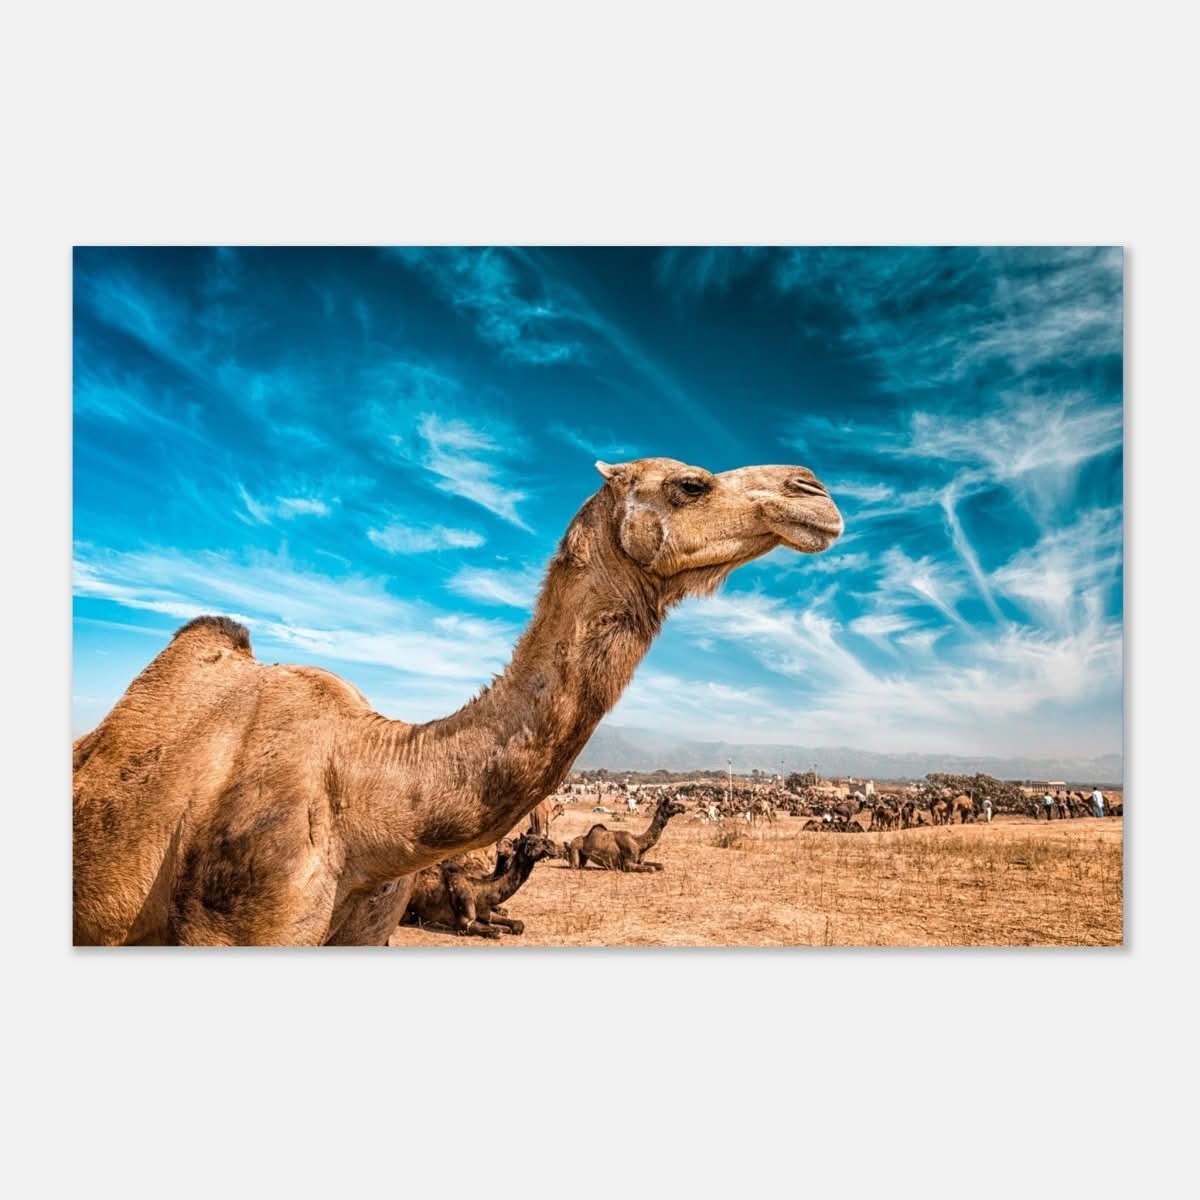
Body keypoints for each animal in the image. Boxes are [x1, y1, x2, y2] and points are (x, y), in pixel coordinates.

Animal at [400, 832, 557, 938]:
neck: (481, 891)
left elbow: (518, 925)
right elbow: (496, 931)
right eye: (531, 842)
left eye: (541, 838)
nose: (552, 846)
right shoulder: (465, 920)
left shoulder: (485, 912)